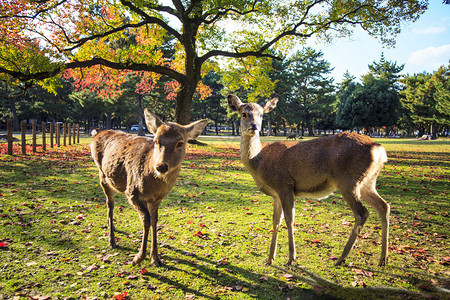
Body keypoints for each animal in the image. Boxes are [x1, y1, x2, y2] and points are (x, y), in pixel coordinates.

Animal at [90, 109, 209, 266]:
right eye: (156, 140)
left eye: (180, 143)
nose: (161, 166)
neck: (153, 186)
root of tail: (96, 134)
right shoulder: (132, 192)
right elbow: (146, 220)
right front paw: (139, 257)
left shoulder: (156, 199)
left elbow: (154, 220)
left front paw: (156, 258)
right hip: (102, 175)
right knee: (110, 204)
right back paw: (112, 240)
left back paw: (112, 226)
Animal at [229, 95, 390, 266]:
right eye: (244, 113)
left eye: (261, 115)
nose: (254, 126)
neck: (259, 161)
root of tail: (378, 149)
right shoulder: (276, 194)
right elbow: (275, 221)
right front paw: (270, 258)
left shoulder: (284, 184)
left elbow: (289, 219)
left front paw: (291, 258)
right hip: (367, 182)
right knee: (383, 206)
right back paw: (383, 258)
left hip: (348, 180)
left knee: (362, 213)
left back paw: (341, 258)